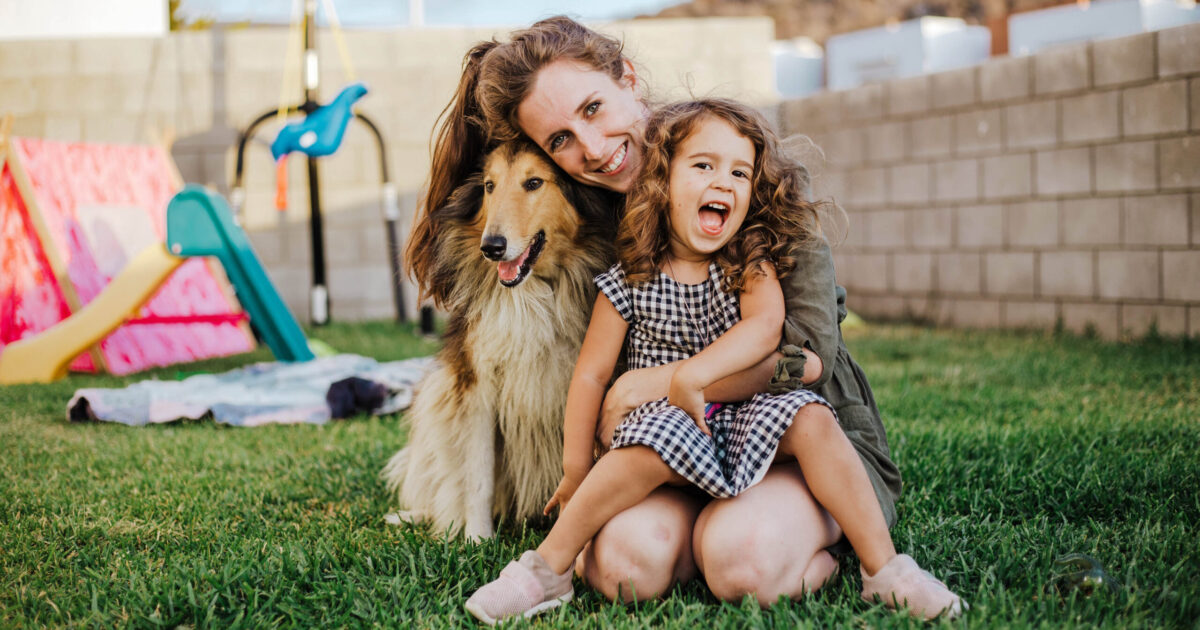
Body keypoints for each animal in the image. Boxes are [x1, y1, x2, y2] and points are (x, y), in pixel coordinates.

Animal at [384, 139, 619, 537]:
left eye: (534, 182)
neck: (533, 293)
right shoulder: (477, 385)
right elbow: (478, 474)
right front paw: (477, 539)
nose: (491, 247)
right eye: (489, 186)